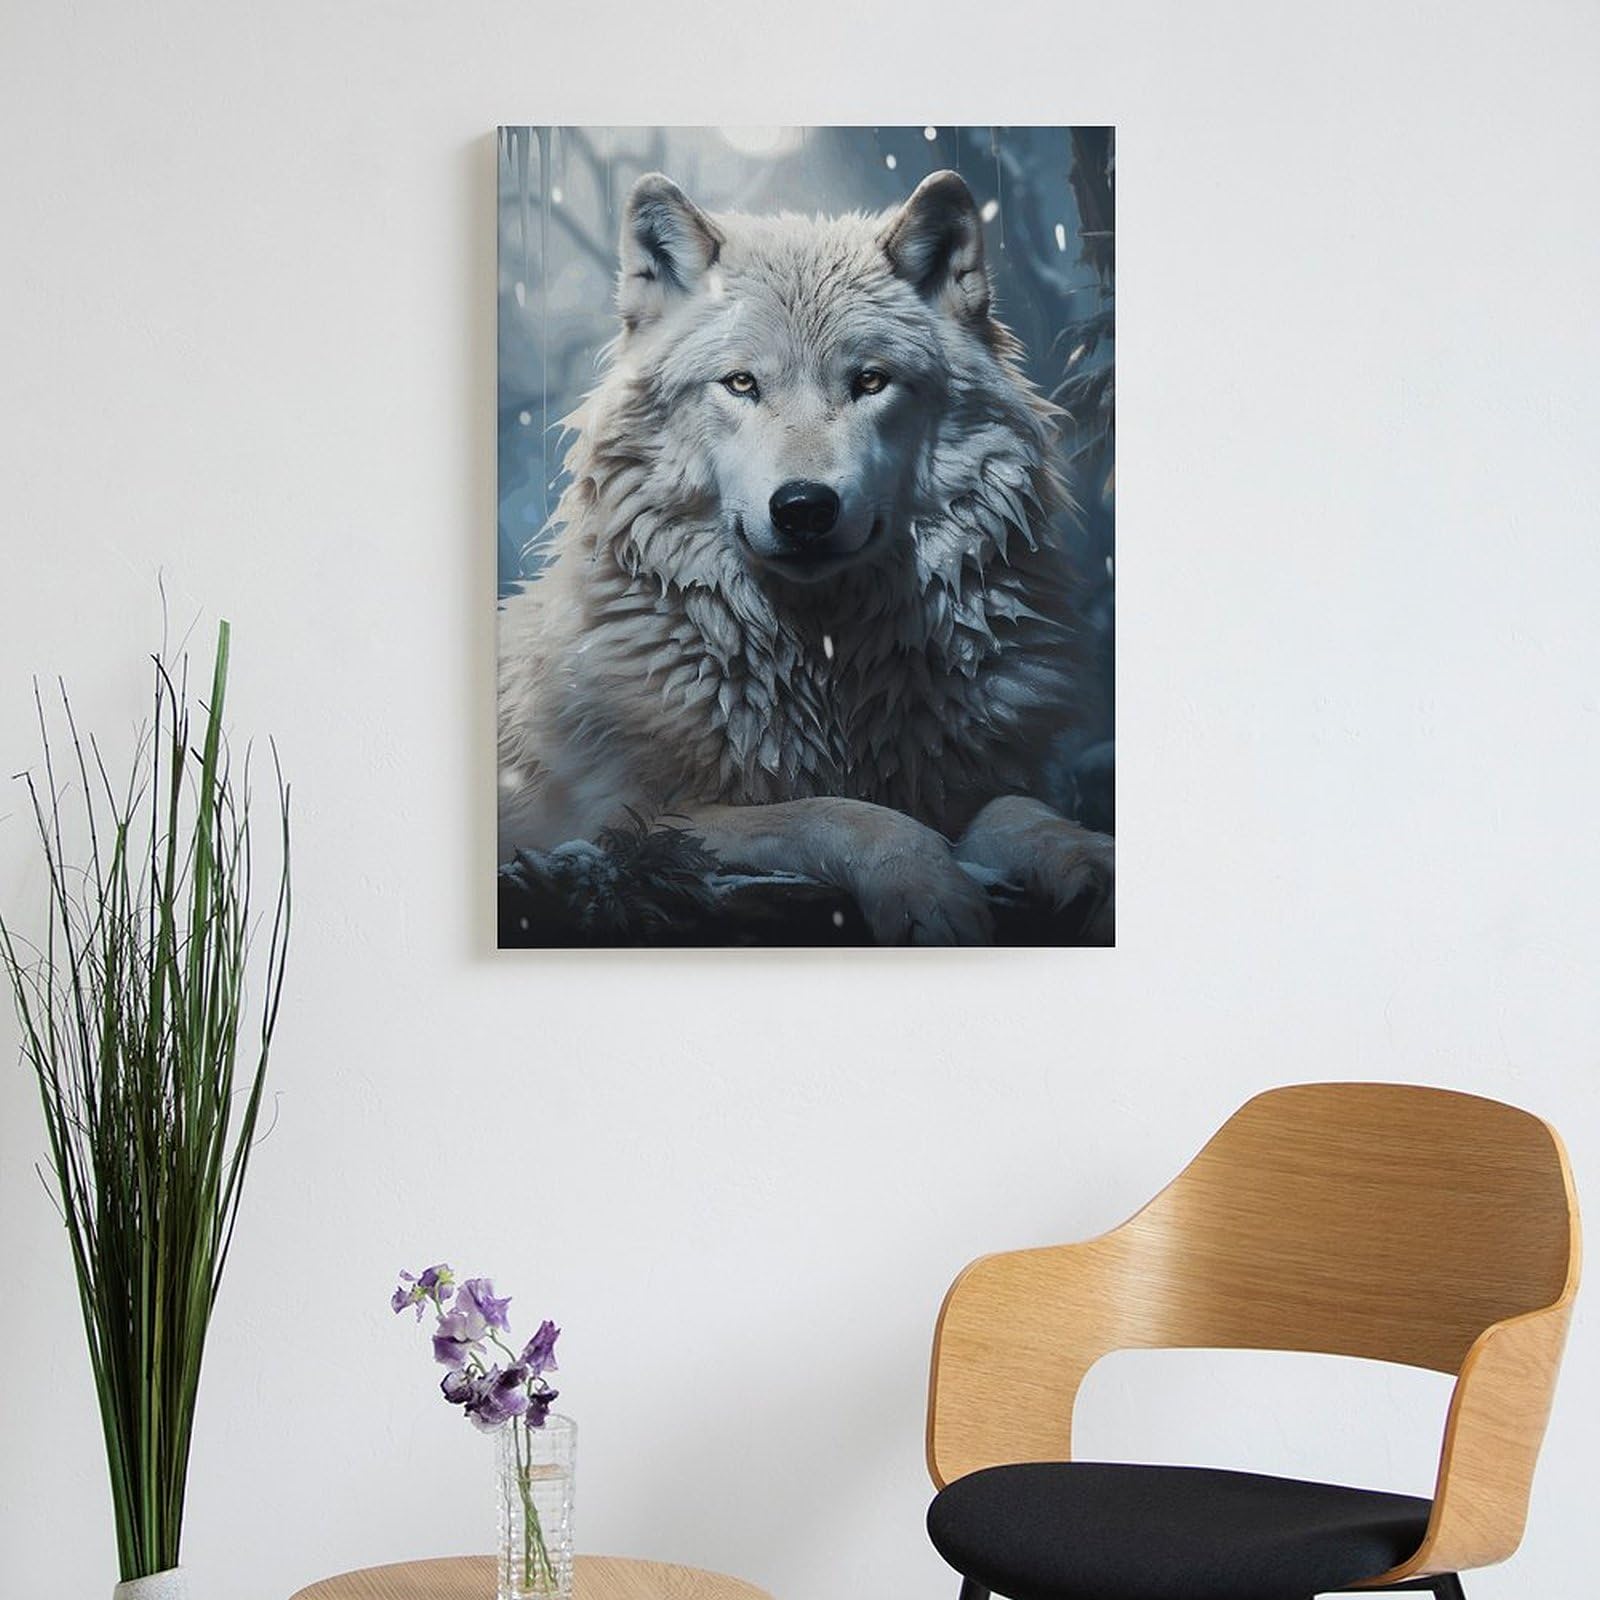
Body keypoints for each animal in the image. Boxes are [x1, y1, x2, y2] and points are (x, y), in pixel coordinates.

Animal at [498, 168, 1113, 944]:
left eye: (870, 381)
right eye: (741, 383)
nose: (803, 508)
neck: (822, 663)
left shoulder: (972, 787)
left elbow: (1019, 812)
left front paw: (1088, 858)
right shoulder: (624, 822)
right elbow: (839, 815)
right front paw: (929, 895)